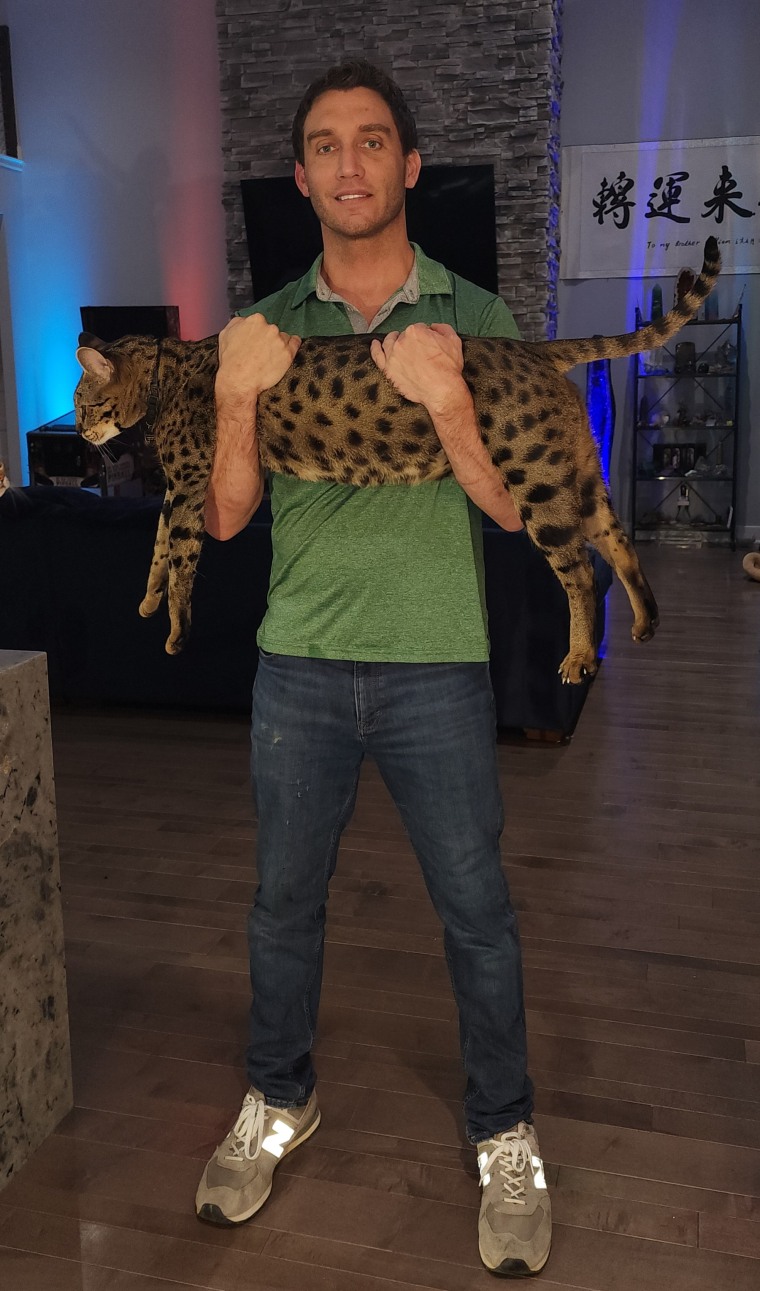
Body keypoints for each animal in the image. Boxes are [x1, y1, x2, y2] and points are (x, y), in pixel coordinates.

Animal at [74, 237, 722, 681]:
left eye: (82, 403)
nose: (80, 433)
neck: (165, 375)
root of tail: (535, 348)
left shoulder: (187, 485)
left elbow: (182, 558)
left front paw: (175, 630)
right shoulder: (174, 491)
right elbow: (157, 547)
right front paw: (147, 600)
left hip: (535, 482)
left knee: (583, 573)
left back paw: (581, 655)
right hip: (579, 475)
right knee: (620, 545)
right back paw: (644, 621)